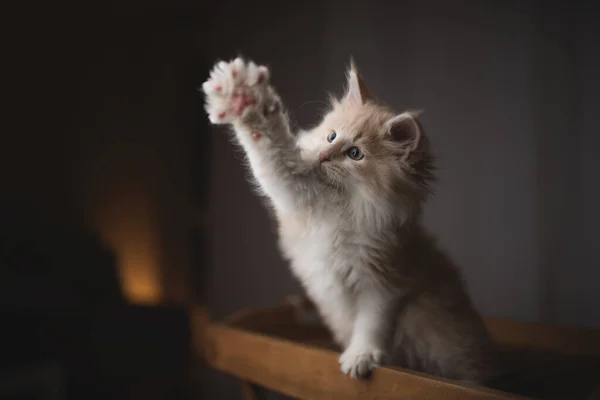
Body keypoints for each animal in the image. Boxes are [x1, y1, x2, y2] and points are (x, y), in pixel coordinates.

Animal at [203, 57, 496, 384]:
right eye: (331, 136)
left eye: (355, 153)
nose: (323, 156)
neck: (346, 209)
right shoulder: (297, 191)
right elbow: (271, 152)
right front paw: (243, 97)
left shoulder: (383, 281)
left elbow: (371, 324)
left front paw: (361, 356)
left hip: (428, 317)